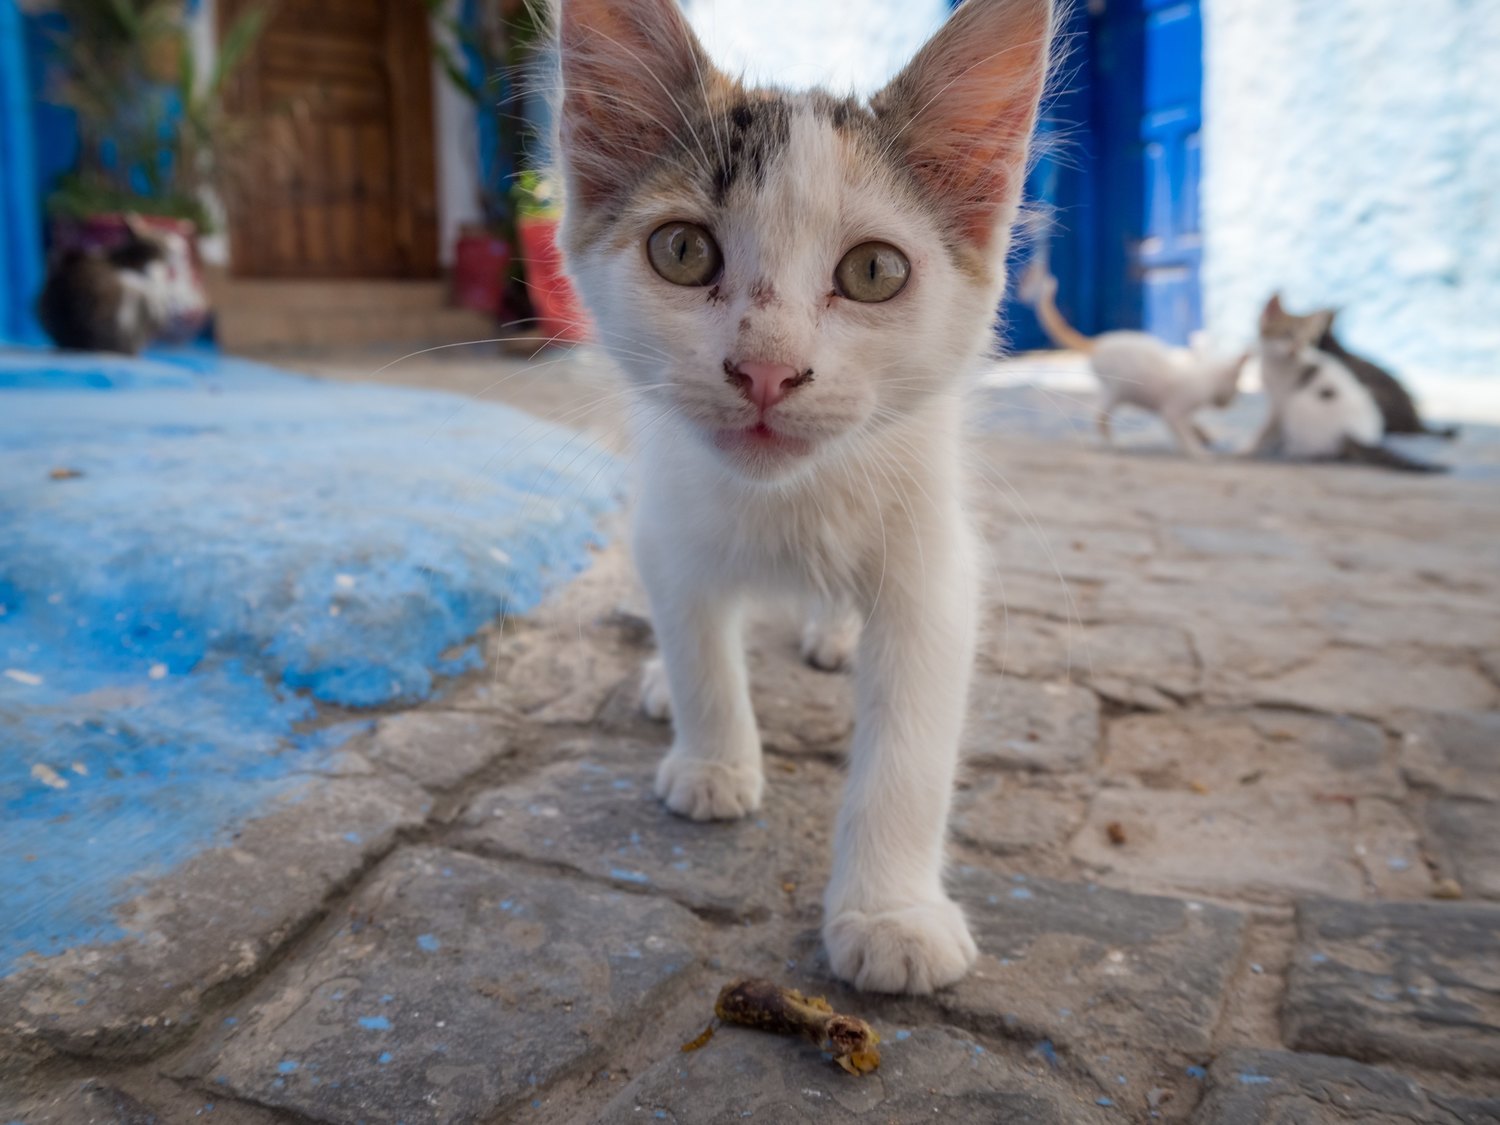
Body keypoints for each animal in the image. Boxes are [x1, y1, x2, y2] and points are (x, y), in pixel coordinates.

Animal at [552, 0, 1056, 996]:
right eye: (682, 250)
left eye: (874, 272)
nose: (766, 370)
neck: (790, 501)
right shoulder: (666, 522)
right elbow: (700, 643)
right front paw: (713, 757)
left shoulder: (935, 565)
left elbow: (912, 745)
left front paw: (890, 914)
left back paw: (832, 632)